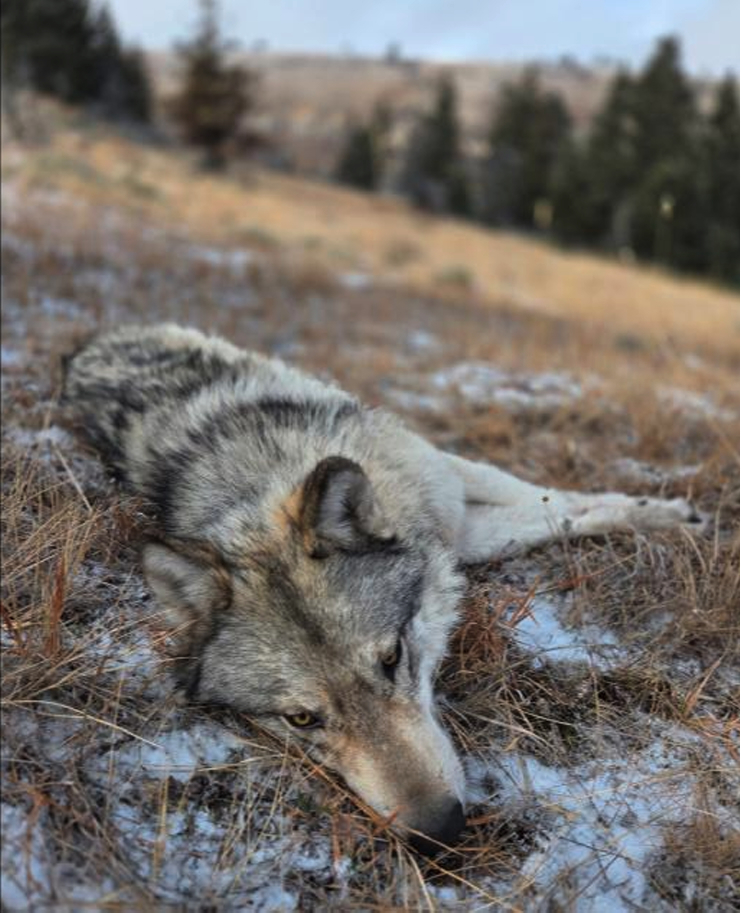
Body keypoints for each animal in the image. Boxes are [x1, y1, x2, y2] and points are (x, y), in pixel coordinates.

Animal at [62, 324, 702, 853]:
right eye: (302, 720)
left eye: (392, 658)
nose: (439, 830)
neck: (264, 484)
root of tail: (87, 344)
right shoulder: (462, 530)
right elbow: (555, 514)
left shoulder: (449, 484)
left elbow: (557, 503)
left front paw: (666, 512)